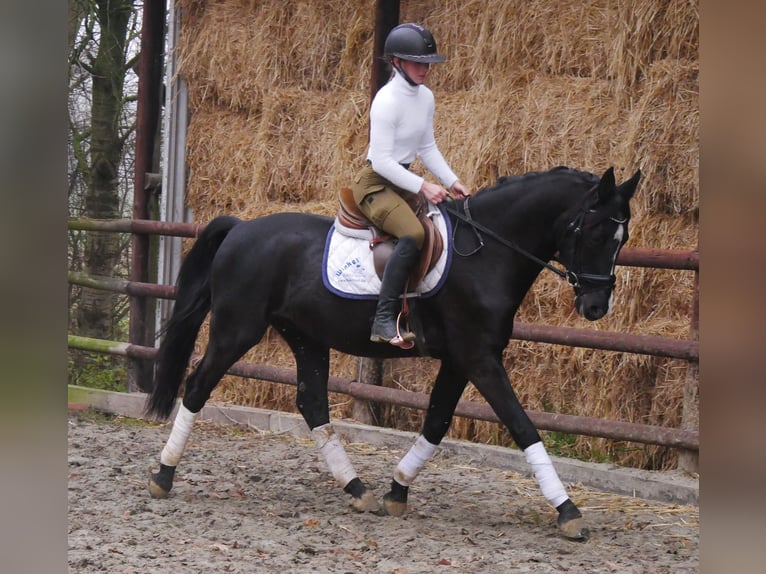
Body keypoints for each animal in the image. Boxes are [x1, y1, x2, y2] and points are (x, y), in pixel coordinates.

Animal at [144, 164, 640, 544]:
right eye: (595, 230)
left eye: (623, 235)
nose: (596, 306)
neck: (487, 254)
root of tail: (242, 228)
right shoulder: (479, 358)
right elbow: (522, 426)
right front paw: (568, 511)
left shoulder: (460, 360)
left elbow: (437, 423)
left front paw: (396, 491)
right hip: (236, 330)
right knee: (198, 385)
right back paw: (163, 476)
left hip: (306, 337)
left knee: (312, 402)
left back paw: (356, 488)